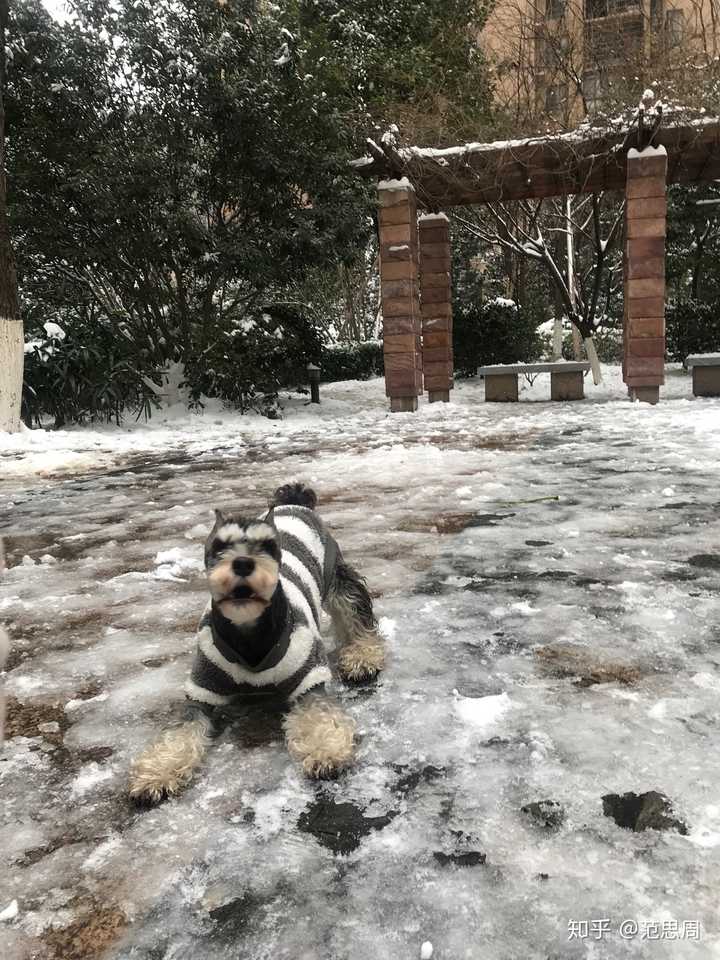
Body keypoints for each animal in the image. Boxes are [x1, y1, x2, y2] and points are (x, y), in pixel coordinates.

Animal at [131, 480, 386, 804]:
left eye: (268, 546)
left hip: (337, 576)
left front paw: (325, 750)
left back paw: (362, 657)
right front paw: (158, 772)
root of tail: (295, 500)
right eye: (219, 547)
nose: (242, 563)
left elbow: (318, 711)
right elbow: (181, 729)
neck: (248, 633)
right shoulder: (202, 688)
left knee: (355, 614)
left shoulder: (308, 678)